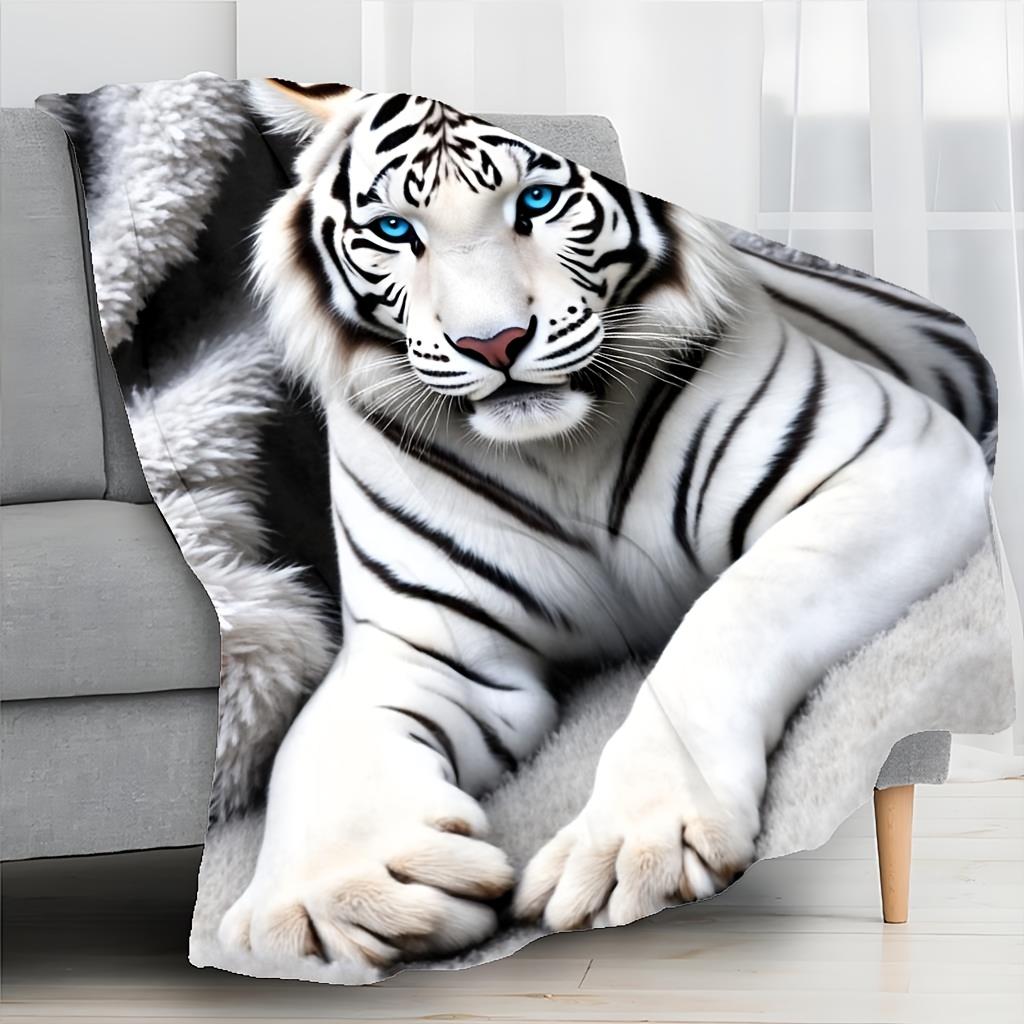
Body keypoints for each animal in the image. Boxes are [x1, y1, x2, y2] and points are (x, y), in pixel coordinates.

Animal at [218, 78, 995, 970]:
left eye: (537, 200)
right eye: (394, 230)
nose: (493, 343)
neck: (561, 452)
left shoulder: (892, 455)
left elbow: (730, 617)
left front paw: (634, 846)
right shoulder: (421, 641)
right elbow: (318, 746)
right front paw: (334, 898)